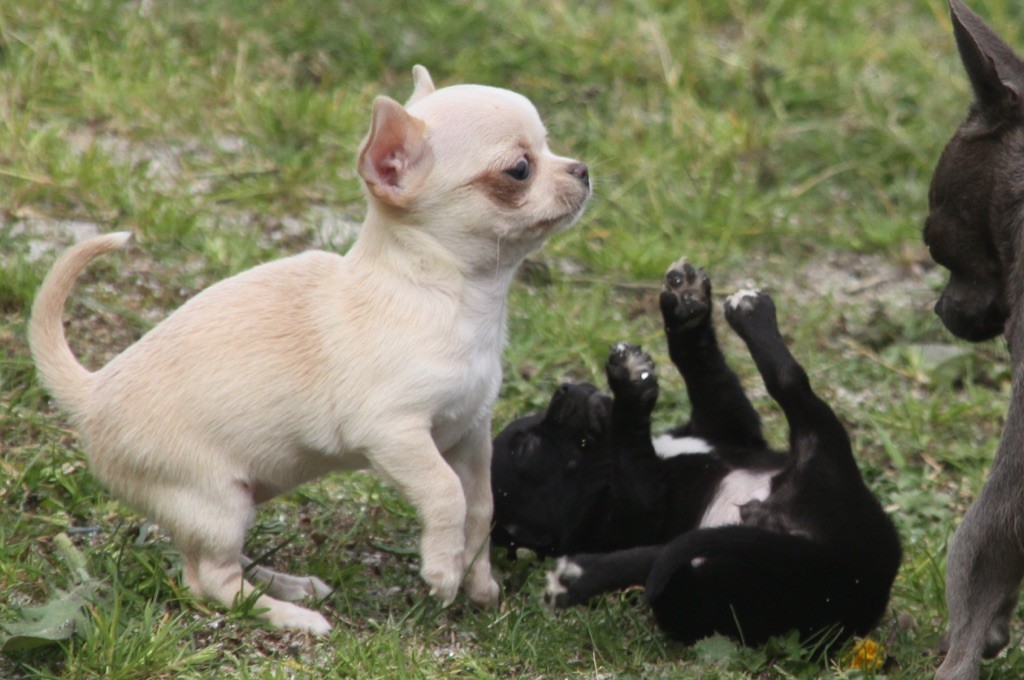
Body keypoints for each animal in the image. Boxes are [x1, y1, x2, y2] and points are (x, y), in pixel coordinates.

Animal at [29, 66, 593, 634]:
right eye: (520, 169)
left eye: (549, 147)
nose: (584, 169)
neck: (451, 296)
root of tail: (92, 391)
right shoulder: (394, 433)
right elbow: (445, 493)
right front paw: (441, 570)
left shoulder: (468, 433)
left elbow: (479, 507)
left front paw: (477, 582)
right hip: (215, 501)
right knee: (210, 581)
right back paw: (288, 613)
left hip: (248, 490)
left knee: (210, 564)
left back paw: (286, 584)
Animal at [491, 259, 901, 647]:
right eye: (527, 448)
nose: (564, 389)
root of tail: (844, 568)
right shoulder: (625, 514)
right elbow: (636, 462)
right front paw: (630, 392)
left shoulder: (727, 426)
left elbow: (705, 369)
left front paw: (684, 307)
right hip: (699, 591)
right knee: (659, 559)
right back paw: (578, 579)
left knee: (788, 381)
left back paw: (749, 312)